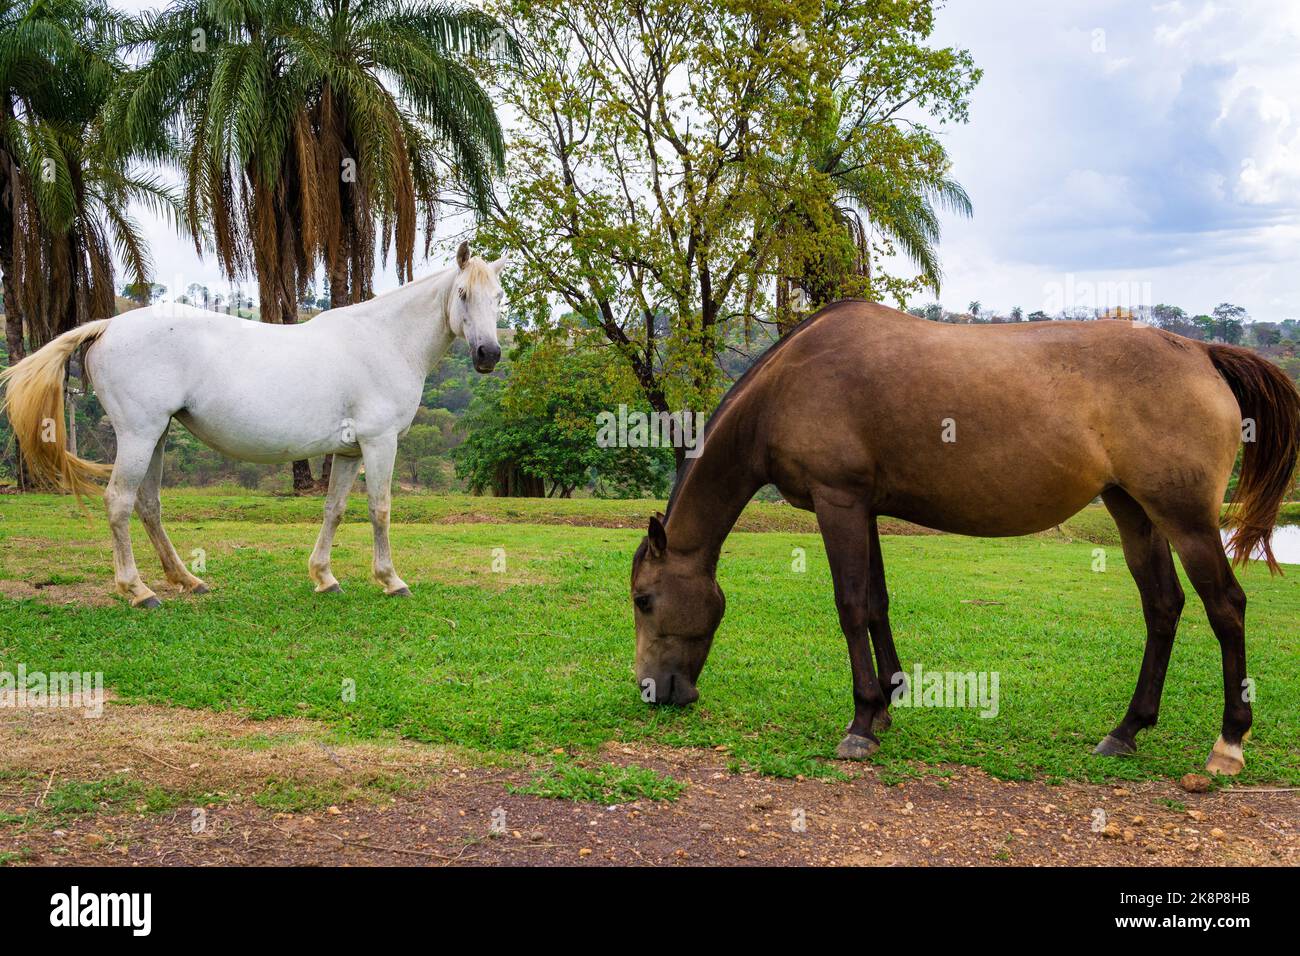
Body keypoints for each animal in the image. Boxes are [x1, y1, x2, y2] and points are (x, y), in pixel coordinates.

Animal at [1, 242, 509, 608]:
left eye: (498, 297)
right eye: (463, 294)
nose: (489, 354)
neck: (385, 339)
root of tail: (108, 325)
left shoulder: (348, 451)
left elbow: (334, 510)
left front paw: (324, 577)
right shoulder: (379, 443)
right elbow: (380, 509)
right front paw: (391, 580)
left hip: (157, 437)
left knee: (148, 506)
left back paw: (187, 580)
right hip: (139, 437)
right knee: (119, 503)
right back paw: (138, 591)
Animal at [631, 300, 1300, 776]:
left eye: (642, 599)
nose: (653, 690)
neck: (789, 385)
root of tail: (1199, 352)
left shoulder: (837, 501)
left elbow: (849, 605)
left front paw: (860, 722)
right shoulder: (864, 508)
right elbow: (876, 603)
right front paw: (886, 704)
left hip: (1186, 520)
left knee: (1226, 608)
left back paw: (1228, 742)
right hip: (1133, 510)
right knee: (1163, 607)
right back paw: (1127, 730)